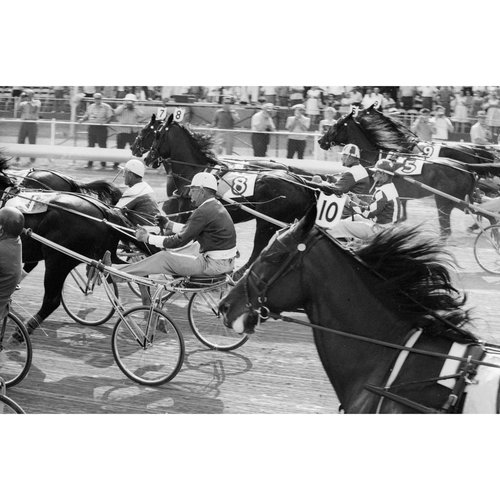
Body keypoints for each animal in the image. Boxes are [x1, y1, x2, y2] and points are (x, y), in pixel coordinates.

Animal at [139, 114, 316, 278]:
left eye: (155, 134)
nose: (146, 158)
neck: (196, 171)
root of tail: (302, 184)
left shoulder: (188, 215)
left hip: (266, 223)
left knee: (258, 248)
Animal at [320, 106, 480, 238]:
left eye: (335, 125)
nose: (320, 141)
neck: (376, 157)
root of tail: (466, 168)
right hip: (457, 199)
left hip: (444, 200)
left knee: (448, 227)